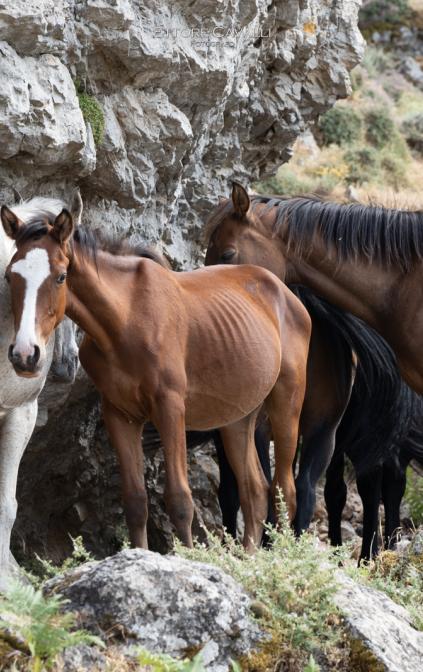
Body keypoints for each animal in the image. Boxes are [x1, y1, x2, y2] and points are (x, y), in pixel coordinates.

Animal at [0, 193, 312, 552]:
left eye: (61, 276)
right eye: (9, 276)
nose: (25, 354)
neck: (125, 320)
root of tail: (285, 294)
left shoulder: (170, 407)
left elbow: (179, 500)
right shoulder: (120, 414)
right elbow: (135, 501)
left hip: (286, 404)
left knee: (283, 489)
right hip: (238, 418)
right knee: (255, 491)